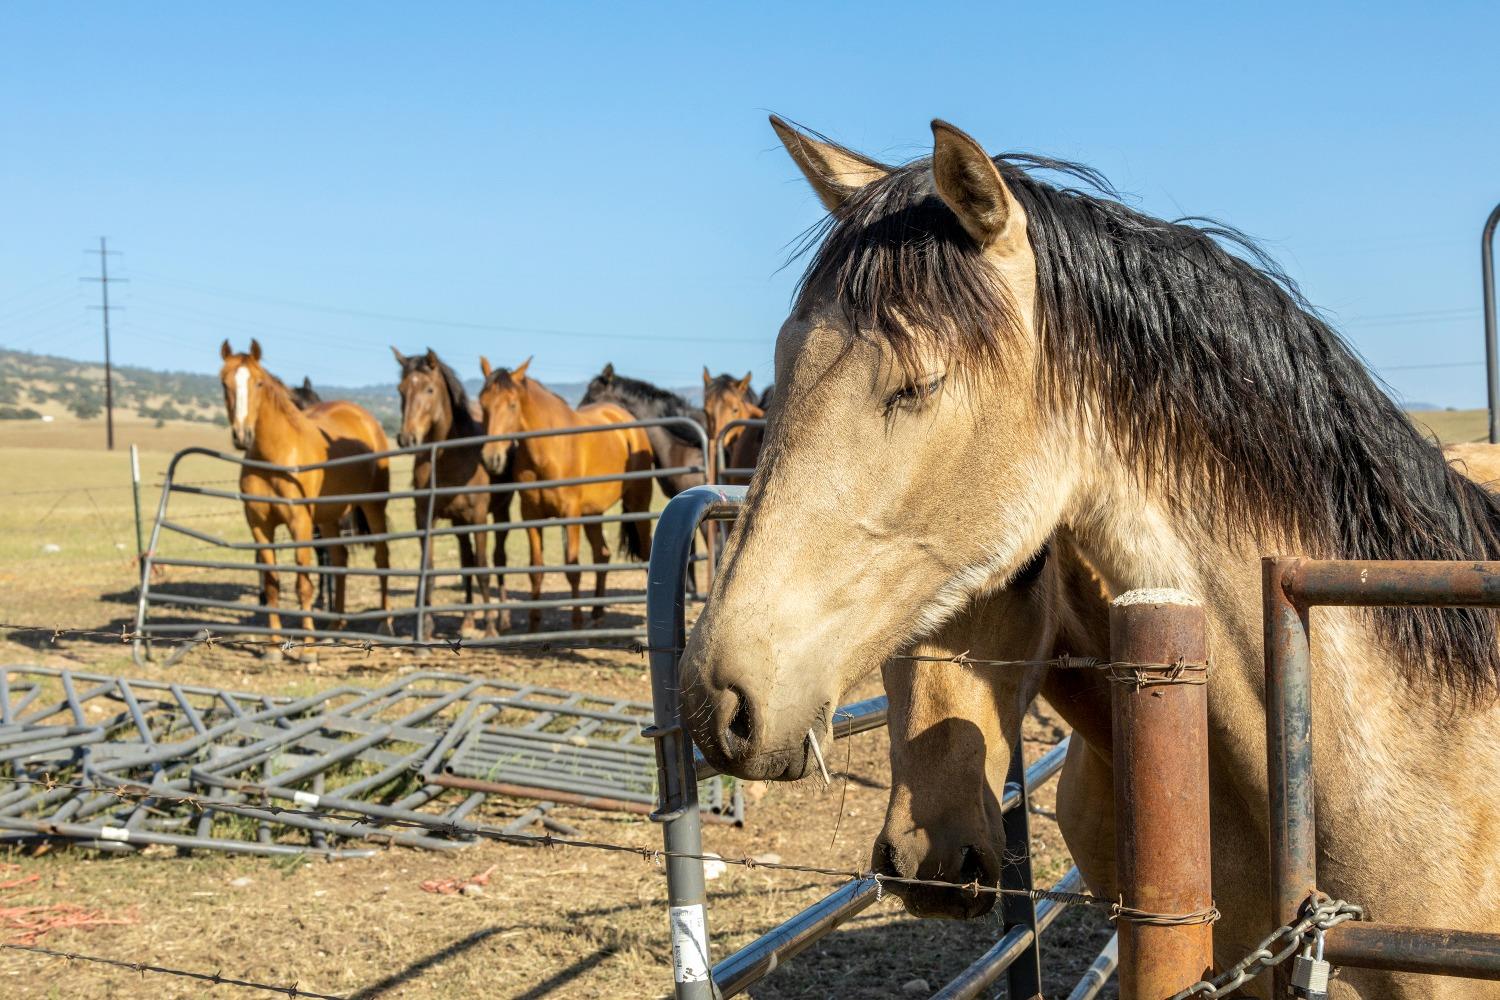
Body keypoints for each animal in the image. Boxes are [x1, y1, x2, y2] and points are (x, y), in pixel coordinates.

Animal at [219, 340, 393, 659]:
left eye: (259, 383)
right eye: (224, 383)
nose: (242, 435)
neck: (275, 456)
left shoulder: (299, 524)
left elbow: (304, 585)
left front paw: (307, 649)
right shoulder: (260, 527)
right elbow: (272, 584)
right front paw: (273, 647)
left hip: (373, 506)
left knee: (381, 558)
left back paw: (384, 625)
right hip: (329, 517)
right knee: (339, 560)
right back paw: (335, 627)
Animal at [393, 347, 516, 638]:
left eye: (429, 389)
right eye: (401, 390)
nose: (407, 438)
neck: (449, 457)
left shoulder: (479, 517)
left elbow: (483, 569)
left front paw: (490, 627)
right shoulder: (425, 517)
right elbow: (430, 570)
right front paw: (425, 626)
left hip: (501, 513)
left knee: (499, 558)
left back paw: (503, 619)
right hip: (460, 523)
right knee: (466, 561)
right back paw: (467, 621)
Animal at [474, 355, 651, 629]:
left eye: (512, 405)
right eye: (483, 404)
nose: (492, 458)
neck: (548, 449)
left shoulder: (570, 514)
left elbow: (572, 568)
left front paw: (576, 622)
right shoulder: (531, 515)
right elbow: (536, 569)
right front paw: (534, 624)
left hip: (638, 506)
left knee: (645, 552)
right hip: (593, 514)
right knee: (602, 554)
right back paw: (597, 612)